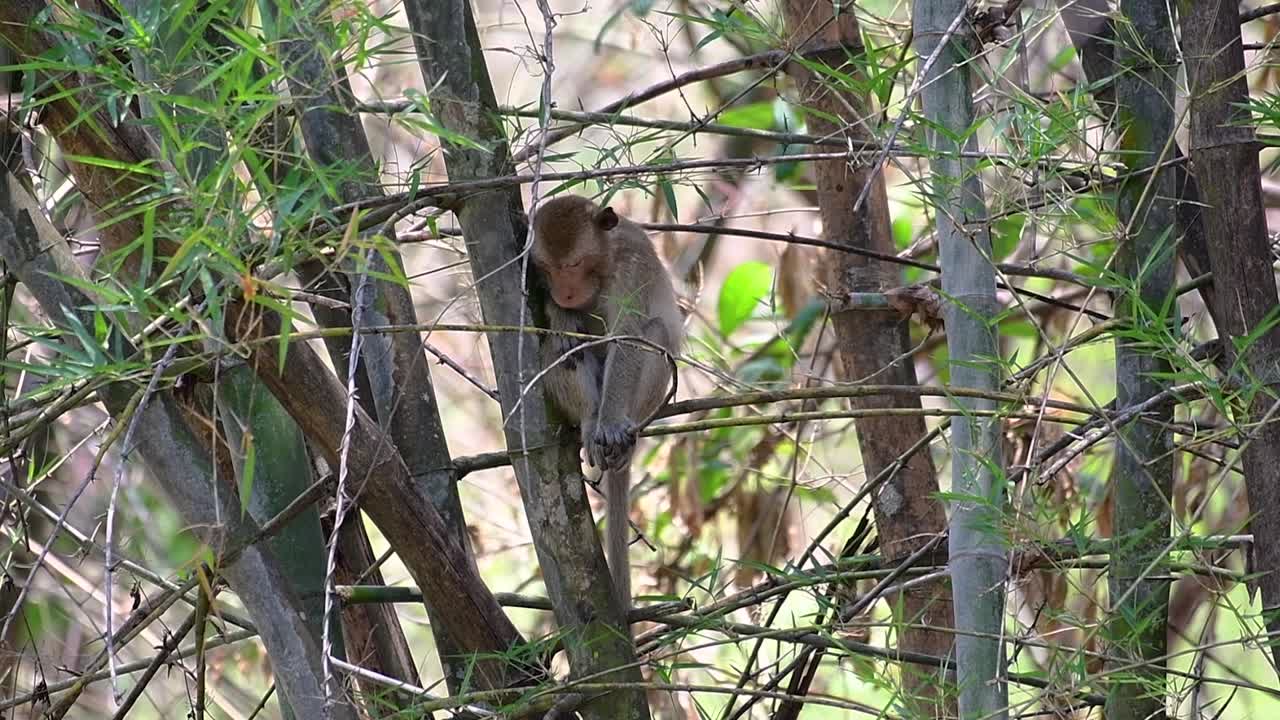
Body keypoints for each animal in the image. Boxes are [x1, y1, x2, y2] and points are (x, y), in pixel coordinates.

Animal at [531, 195, 684, 608]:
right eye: (547, 268)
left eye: (573, 265)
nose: (565, 294)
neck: (606, 258)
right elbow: (560, 334)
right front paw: (561, 316)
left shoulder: (632, 268)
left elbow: (627, 336)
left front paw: (613, 424)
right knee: (559, 348)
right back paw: (588, 420)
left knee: (653, 333)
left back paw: (618, 428)